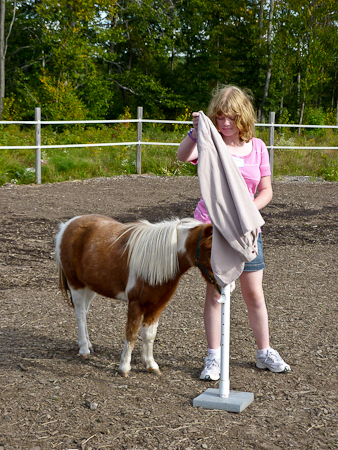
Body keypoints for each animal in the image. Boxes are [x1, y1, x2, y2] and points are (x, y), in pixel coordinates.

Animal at [54, 214, 219, 376]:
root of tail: (67, 225)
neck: (155, 260)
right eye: (210, 250)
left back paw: (88, 345)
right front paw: (124, 367)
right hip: (76, 285)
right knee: (80, 315)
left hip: (90, 287)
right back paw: (84, 350)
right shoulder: (135, 304)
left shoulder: (157, 306)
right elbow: (131, 334)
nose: (221, 283)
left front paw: (151, 365)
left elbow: (149, 335)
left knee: (85, 312)